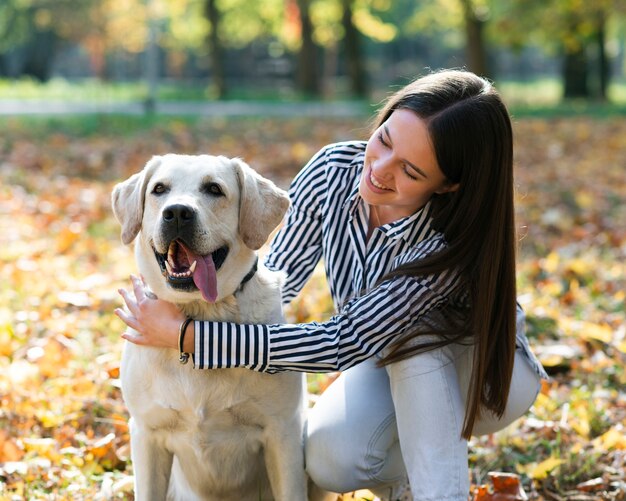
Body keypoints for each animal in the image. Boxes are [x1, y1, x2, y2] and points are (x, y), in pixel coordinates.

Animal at [114, 154, 308, 498]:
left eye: (214, 189)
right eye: (159, 189)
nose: (178, 212)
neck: (201, 314)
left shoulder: (283, 432)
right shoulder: (146, 433)